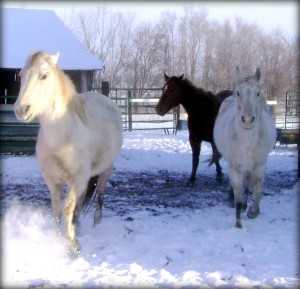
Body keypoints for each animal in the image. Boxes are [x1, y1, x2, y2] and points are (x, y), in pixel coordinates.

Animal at [14, 51, 123, 254]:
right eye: (21, 75)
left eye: (44, 76)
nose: (21, 109)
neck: (62, 137)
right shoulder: (52, 179)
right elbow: (57, 208)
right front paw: (57, 236)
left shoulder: (77, 179)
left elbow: (67, 206)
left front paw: (71, 243)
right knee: (79, 202)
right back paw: (77, 224)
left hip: (106, 170)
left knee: (100, 194)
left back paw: (96, 221)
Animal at [213, 67, 276, 227]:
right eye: (238, 93)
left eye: (257, 93)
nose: (247, 120)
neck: (247, 142)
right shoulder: (235, 167)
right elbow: (237, 196)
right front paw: (238, 223)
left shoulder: (259, 166)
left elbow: (258, 192)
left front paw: (253, 212)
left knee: (248, 183)